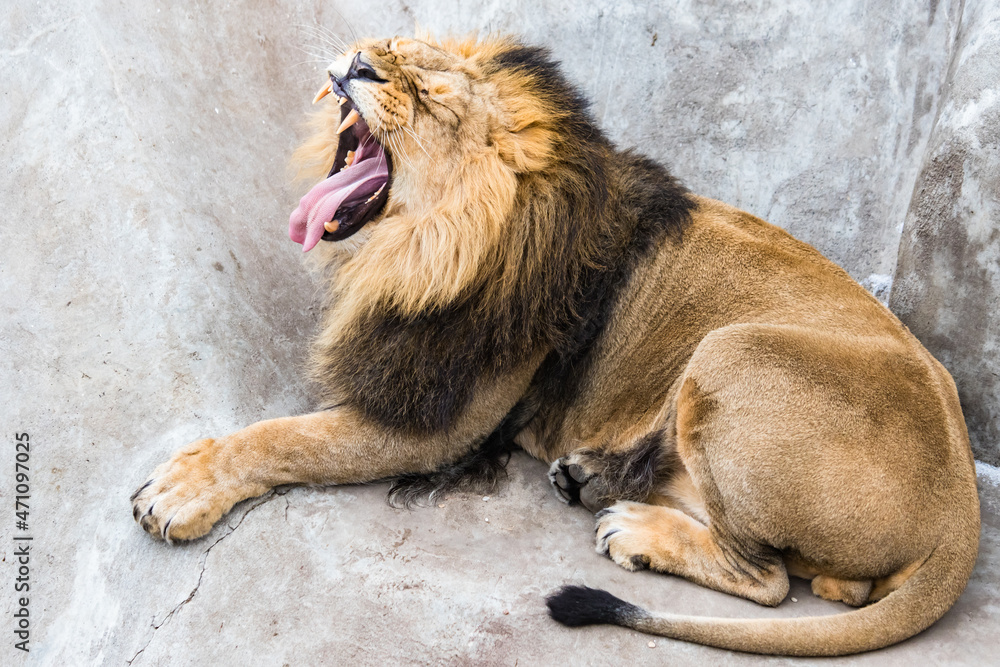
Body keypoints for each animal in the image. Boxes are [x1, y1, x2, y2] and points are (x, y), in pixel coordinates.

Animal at [131, 34, 980, 656]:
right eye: (391, 45)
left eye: (433, 95)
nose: (359, 62)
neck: (421, 247)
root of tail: (962, 511)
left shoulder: (436, 427)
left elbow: (285, 436)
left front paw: (183, 487)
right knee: (832, 582)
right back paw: (592, 476)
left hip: (731, 350)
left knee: (772, 580)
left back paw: (634, 531)